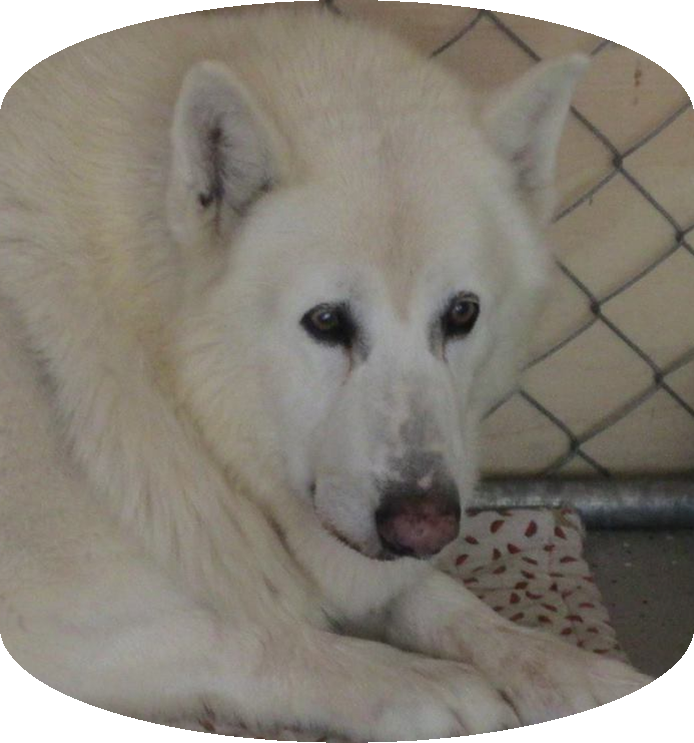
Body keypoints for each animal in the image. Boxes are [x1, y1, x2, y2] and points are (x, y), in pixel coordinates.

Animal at [0, 6, 652, 740]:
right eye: (326, 321)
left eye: (462, 313)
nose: (423, 526)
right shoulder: (38, 624)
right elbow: (247, 633)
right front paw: (416, 682)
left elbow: (440, 597)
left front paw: (562, 666)